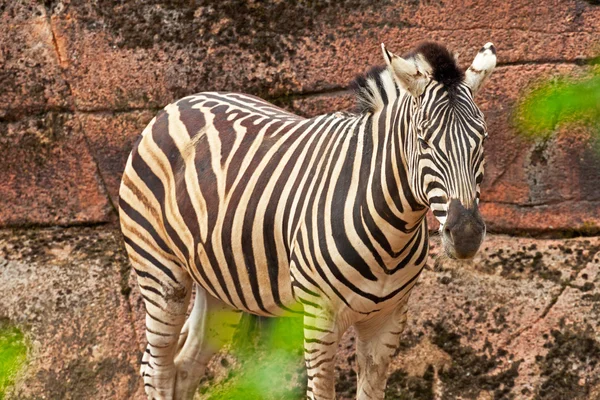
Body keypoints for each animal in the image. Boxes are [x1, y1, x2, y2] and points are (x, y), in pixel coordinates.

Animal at [118, 41, 496, 400]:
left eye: (483, 139)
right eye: (423, 140)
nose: (465, 234)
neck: (393, 228)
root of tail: (179, 103)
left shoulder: (387, 321)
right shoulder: (318, 319)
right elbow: (321, 391)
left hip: (220, 283)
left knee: (187, 364)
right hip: (160, 271)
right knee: (156, 367)